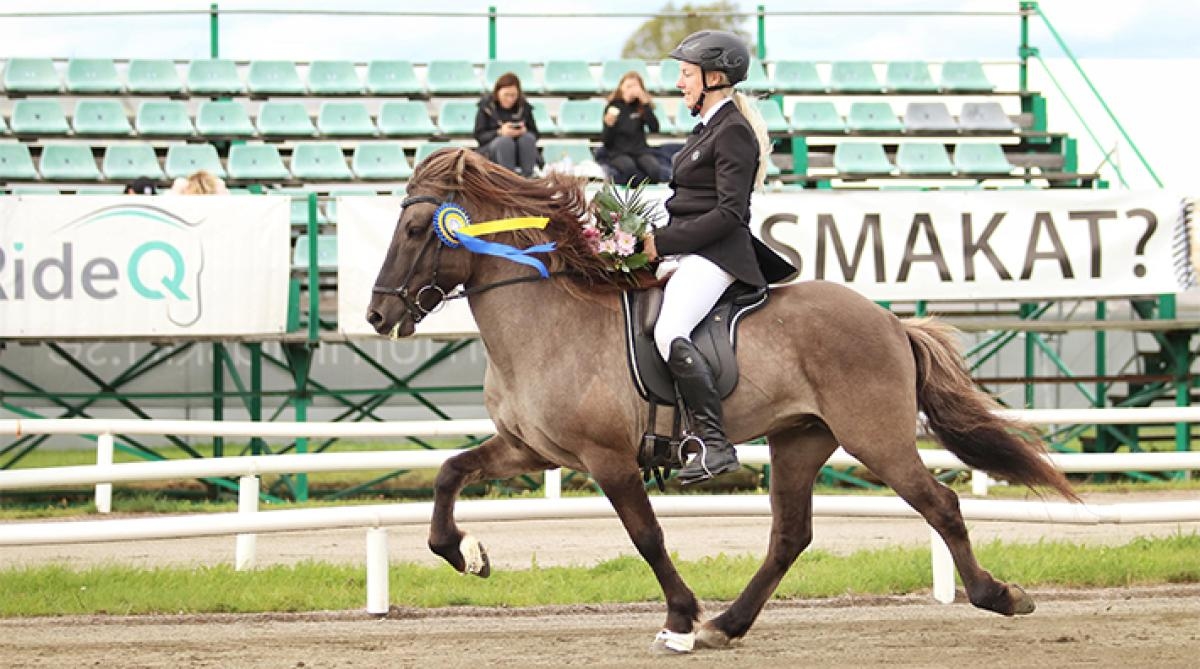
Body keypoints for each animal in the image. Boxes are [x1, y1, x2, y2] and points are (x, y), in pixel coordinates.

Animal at [364, 146, 1080, 657]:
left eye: (414, 227)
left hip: (876, 438)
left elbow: (647, 536)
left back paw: (999, 596)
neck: (544, 320)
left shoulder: (607, 458)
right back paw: (728, 626)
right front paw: (466, 554)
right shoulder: (532, 450)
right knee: (791, 535)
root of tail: (889, 320)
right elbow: (450, 472)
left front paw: (681, 617)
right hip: (800, 438)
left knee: (940, 505)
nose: (377, 315)